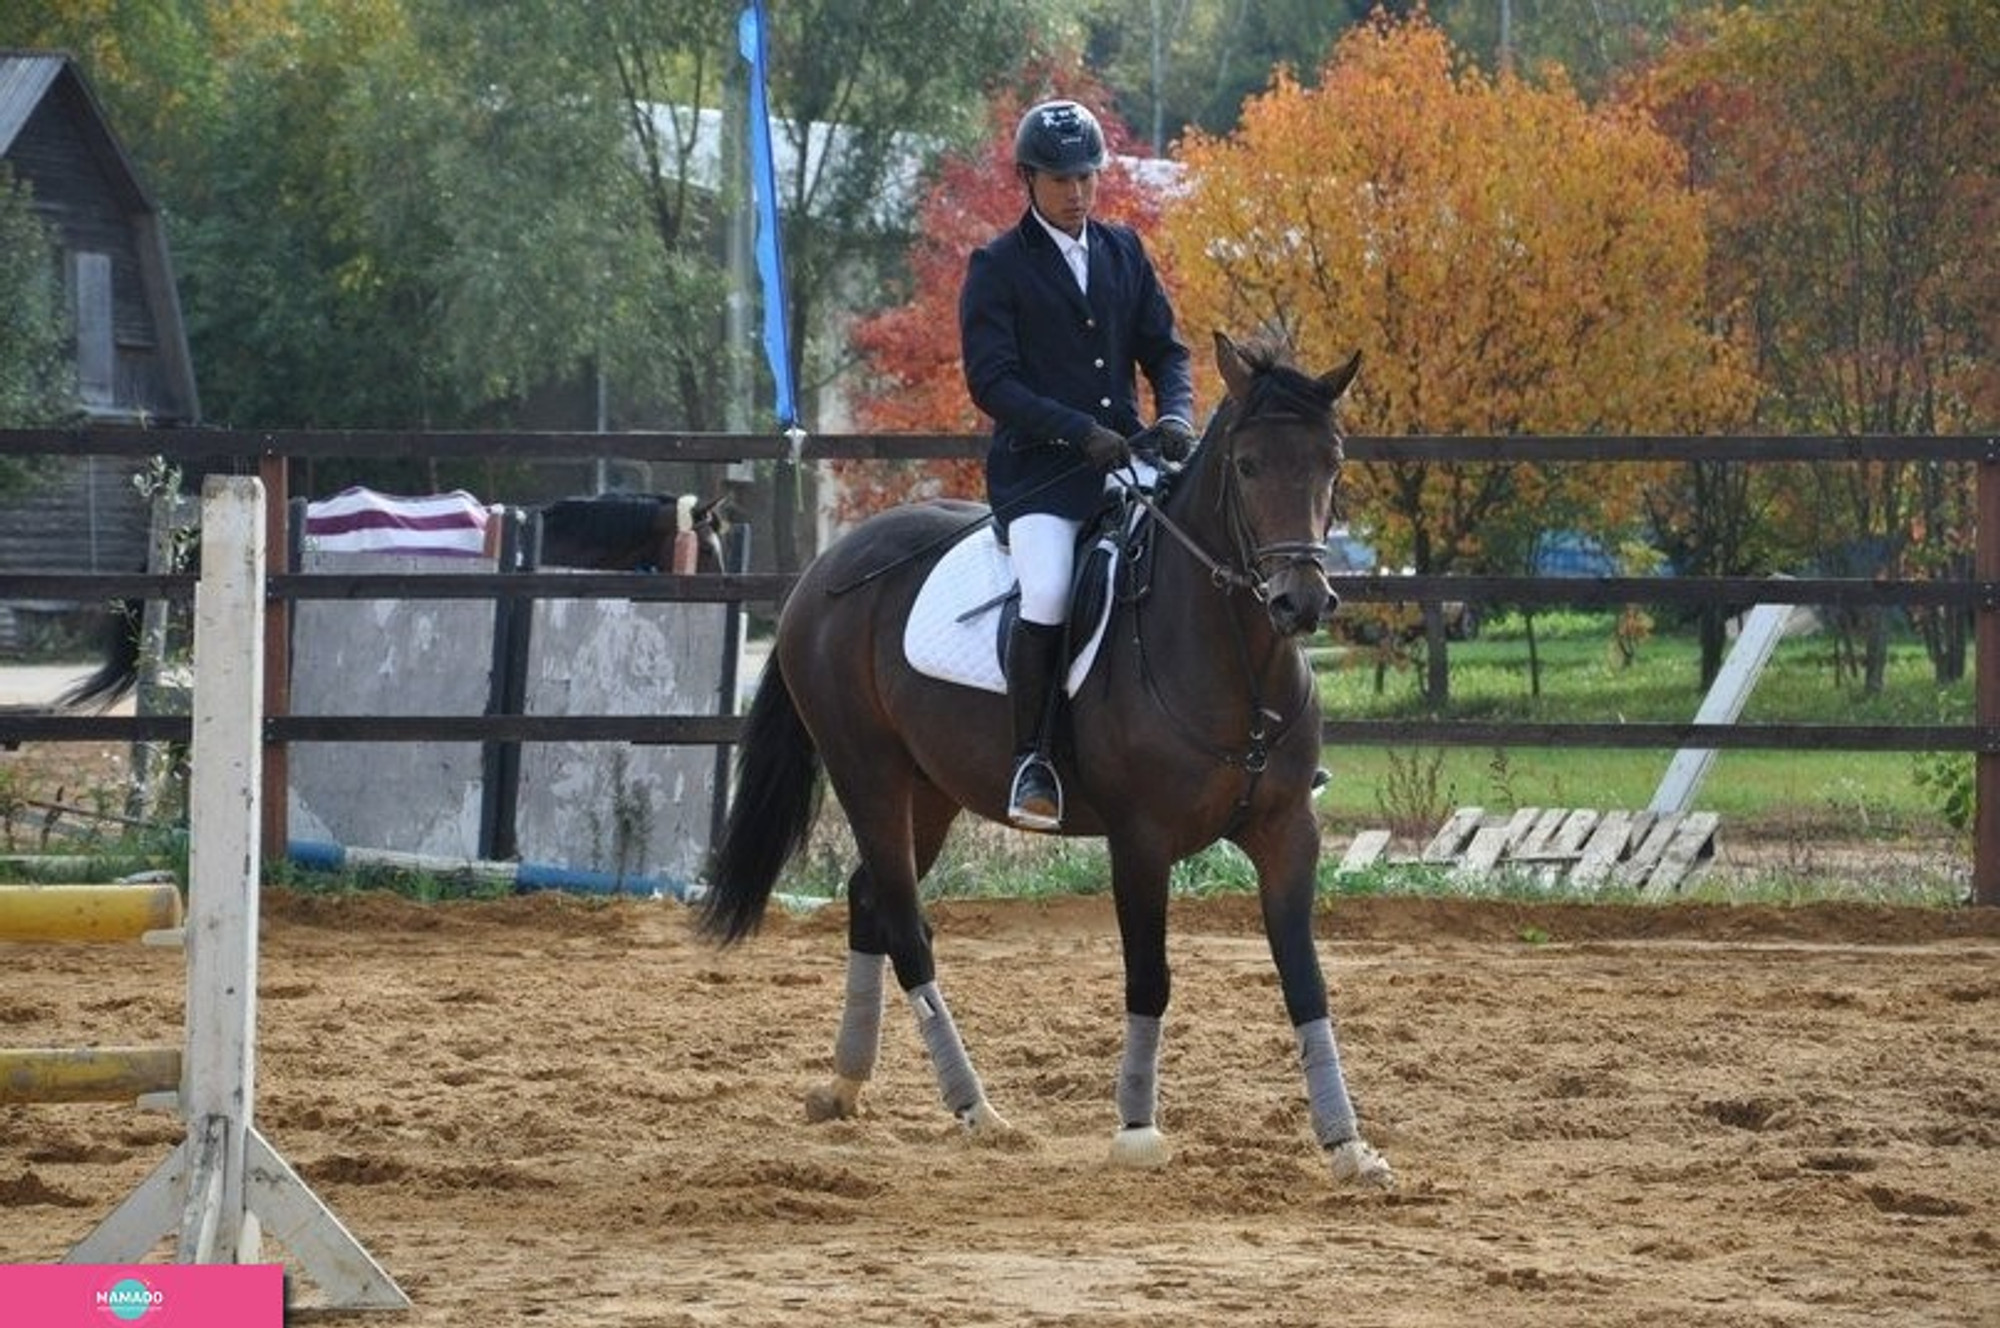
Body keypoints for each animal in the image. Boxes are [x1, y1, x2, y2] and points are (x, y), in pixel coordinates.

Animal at [700, 334, 1392, 1192]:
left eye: (1332, 461)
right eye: (1249, 465)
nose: (1300, 602)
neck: (1234, 656)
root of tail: (826, 568)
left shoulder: (1289, 832)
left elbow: (1306, 979)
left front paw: (1346, 1143)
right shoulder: (1141, 842)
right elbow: (1149, 975)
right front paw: (1136, 1129)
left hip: (930, 793)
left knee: (868, 900)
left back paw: (846, 1084)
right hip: (868, 773)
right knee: (904, 925)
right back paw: (974, 1109)